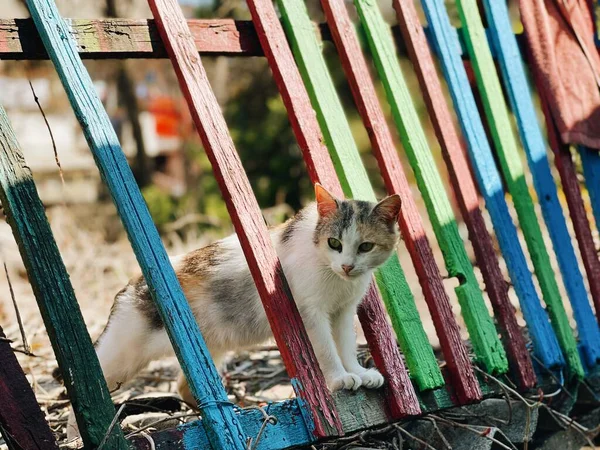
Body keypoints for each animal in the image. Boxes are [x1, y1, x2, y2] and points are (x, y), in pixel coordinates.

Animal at [65, 184, 400, 440]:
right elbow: (328, 351)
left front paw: (359, 373)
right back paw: (76, 438)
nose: (347, 266)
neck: (334, 275)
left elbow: (345, 345)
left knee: (184, 387)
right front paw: (340, 378)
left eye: (366, 247)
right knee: (85, 393)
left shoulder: (343, 311)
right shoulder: (312, 314)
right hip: (123, 354)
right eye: (334, 243)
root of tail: (132, 285)